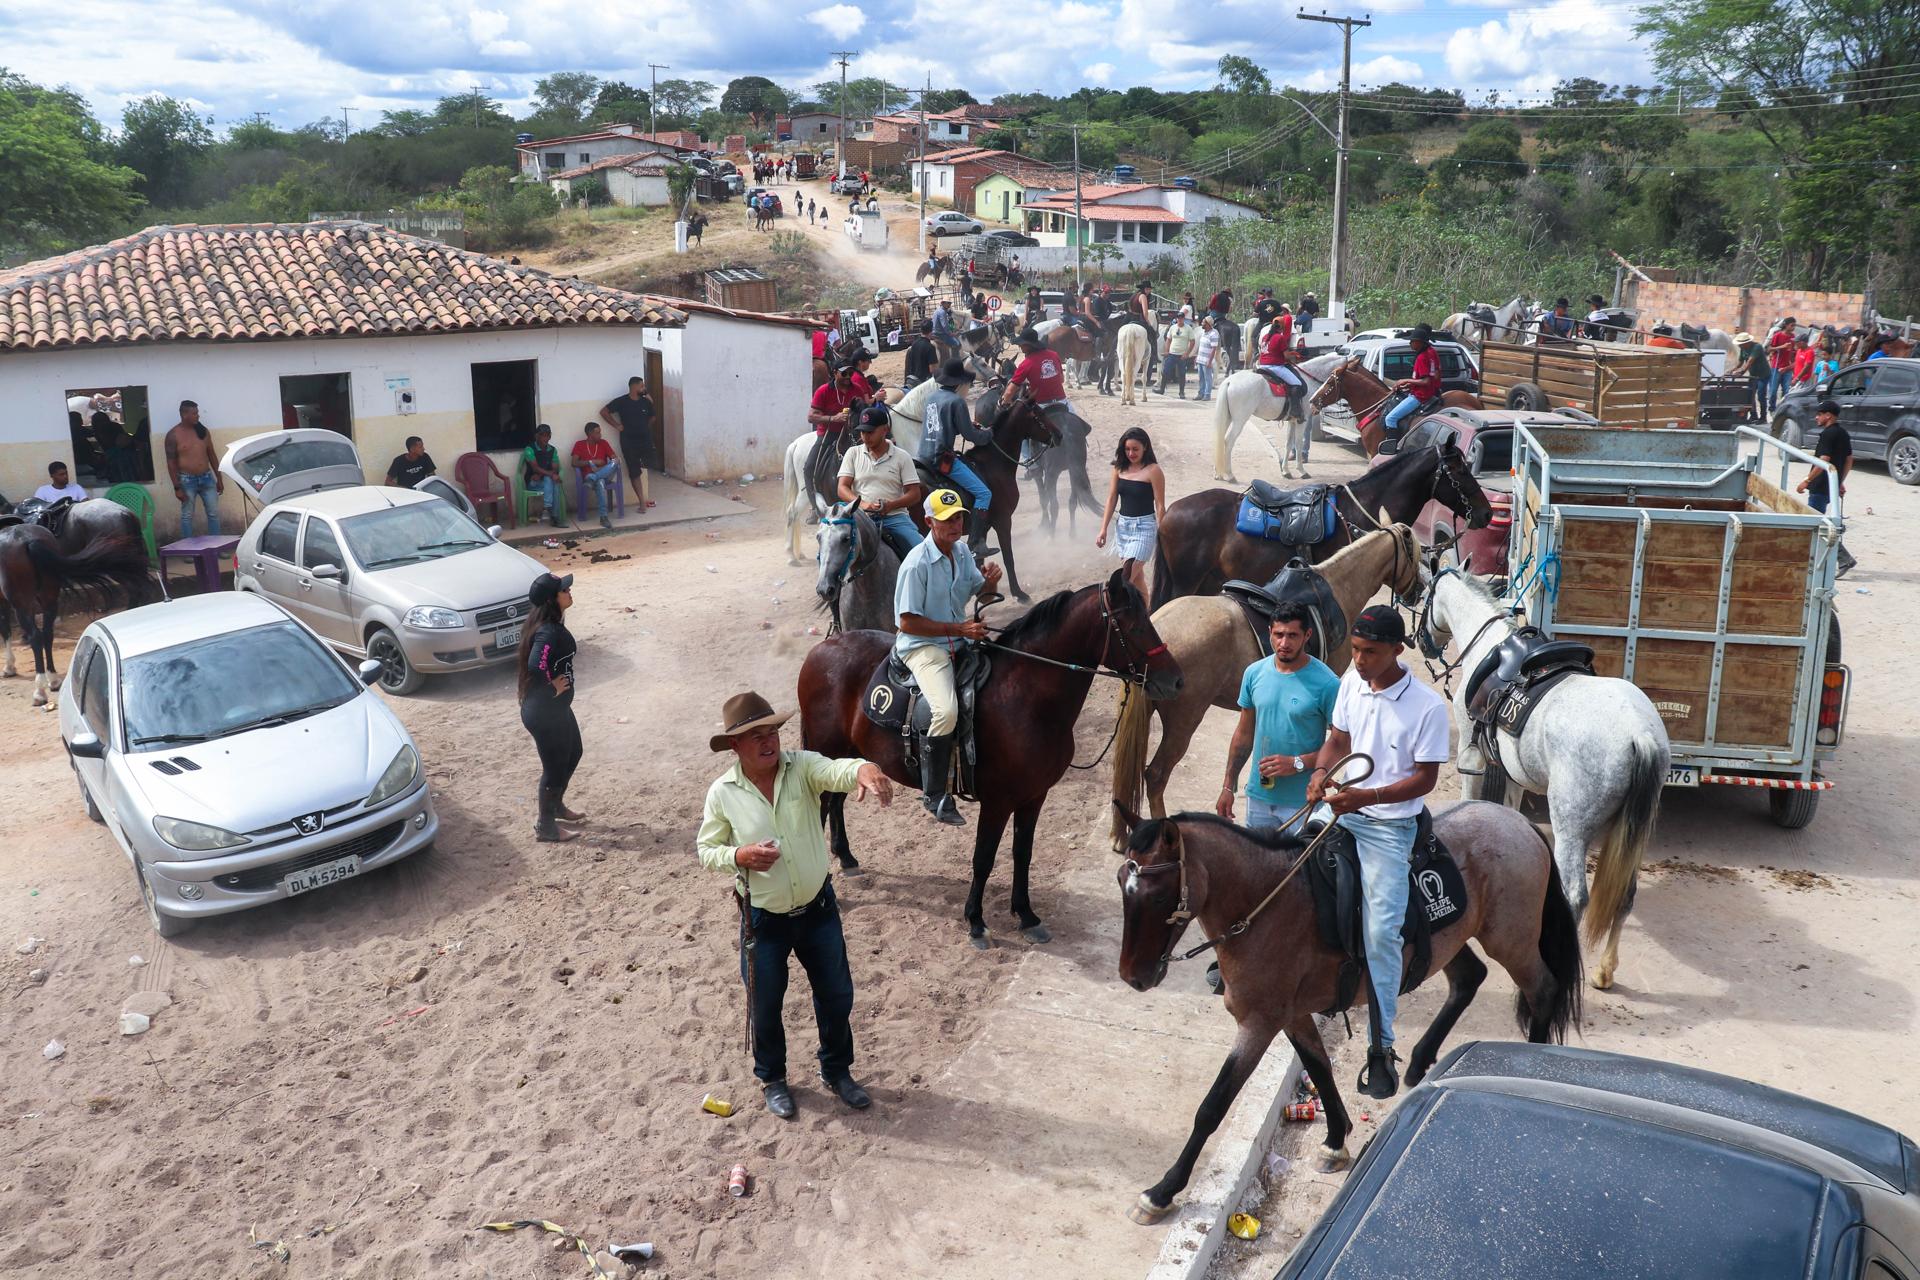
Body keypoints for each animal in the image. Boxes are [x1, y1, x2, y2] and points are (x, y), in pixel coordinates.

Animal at [0, 525, 154, 705]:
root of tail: (28, 540)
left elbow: (5, 629)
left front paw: (9, 667)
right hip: (49, 599)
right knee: (47, 634)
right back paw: (53, 679)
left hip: (23, 604)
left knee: (36, 638)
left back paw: (40, 691)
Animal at [799, 570, 1184, 946]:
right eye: (1133, 625)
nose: (1176, 681)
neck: (1027, 699)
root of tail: (822, 649)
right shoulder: (998, 802)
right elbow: (983, 858)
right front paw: (976, 921)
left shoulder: (1034, 797)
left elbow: (1022, 853)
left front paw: (1026, 916)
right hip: (827, 751)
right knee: (820, 809)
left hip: (850, 755)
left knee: (836, 802)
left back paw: (847, 857)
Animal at [1113, 801, 1583, 1215]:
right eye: (1122, 884)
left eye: (1159, 898)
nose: (1133, 976)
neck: (1266, 902)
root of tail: (1520, 823)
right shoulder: (1292, 1015)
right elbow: (1318, 1067)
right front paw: (1336, 1140)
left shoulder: (1259, 1023)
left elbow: (1212, 1107)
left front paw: (1162, 1192)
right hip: (1448, 941)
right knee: (1470, 978)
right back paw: (1419, 1061)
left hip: (1511, 941)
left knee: (1542, 990)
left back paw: (1534, 1062)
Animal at [1416, 562, 1668, 992]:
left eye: (1423, 595)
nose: (1421, 641)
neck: (1488, 645)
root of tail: (1640, 735)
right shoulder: (1514, 774)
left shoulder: (1471, 753)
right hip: (1630, 829)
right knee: (1625, 895)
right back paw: (1604, 970)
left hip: (1571, 825)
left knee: (1577, 895)